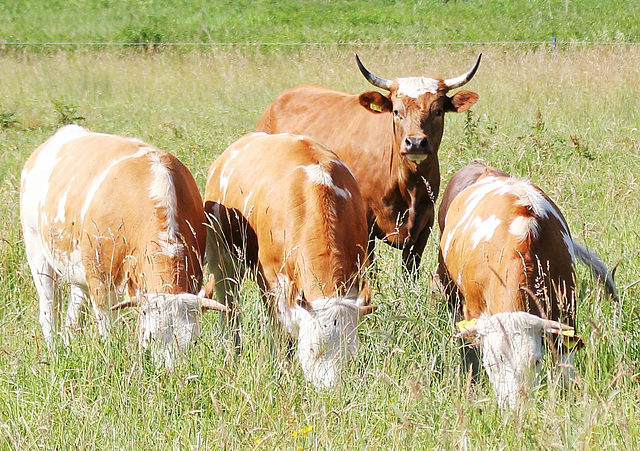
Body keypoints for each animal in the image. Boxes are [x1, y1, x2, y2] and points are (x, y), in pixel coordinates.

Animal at [20, 124, 228, 368]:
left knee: (73, 309)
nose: (170, 372)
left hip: (77, 266)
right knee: (48, 309)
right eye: (150, 337)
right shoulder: (100, 283)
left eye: (193, 342)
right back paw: (52, 350)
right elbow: (108, 331)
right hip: (37, 252)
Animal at [204, 133, 376, 388]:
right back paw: (232, 353)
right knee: (229, 307)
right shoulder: (271, 280)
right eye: (313, 349)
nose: (330, 390)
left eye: (350, 353)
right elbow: (280, 332)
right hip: (222, 258)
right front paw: (281, 369)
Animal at [255, 52, 480, 272]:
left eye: (438, 111)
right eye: (396, 111)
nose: (416, 142)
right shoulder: (365, 225)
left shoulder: (423, 227)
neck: (407, 186)